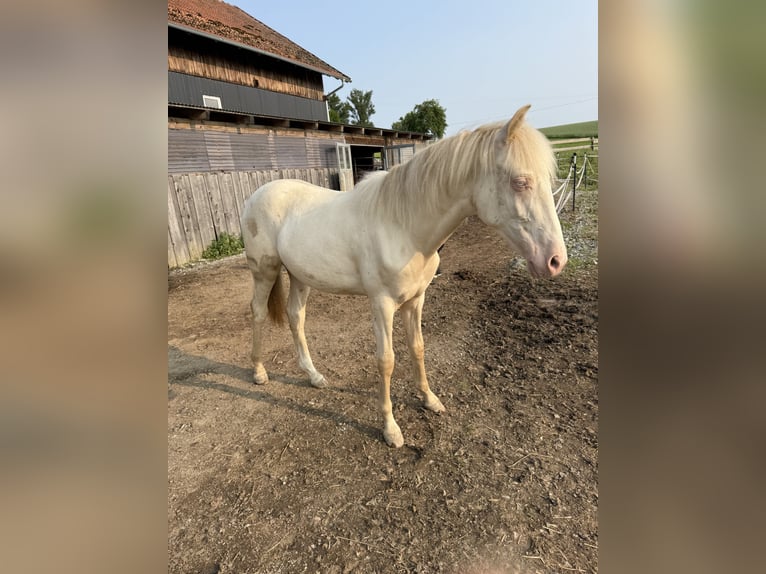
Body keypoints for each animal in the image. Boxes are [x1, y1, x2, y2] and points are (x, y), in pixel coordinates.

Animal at [240, 105, 567, 448]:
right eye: (520, 182)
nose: (555, 260)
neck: (403, 225)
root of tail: (257, 195)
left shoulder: (415, 300)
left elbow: (417, 348)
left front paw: (429, 400)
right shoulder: (382, 305)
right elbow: (386, 360)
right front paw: (390, 429)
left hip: (300, 276)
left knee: (296, 317)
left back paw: (314, 376)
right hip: (264, 270)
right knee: (258, 312)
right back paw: (259, 372)